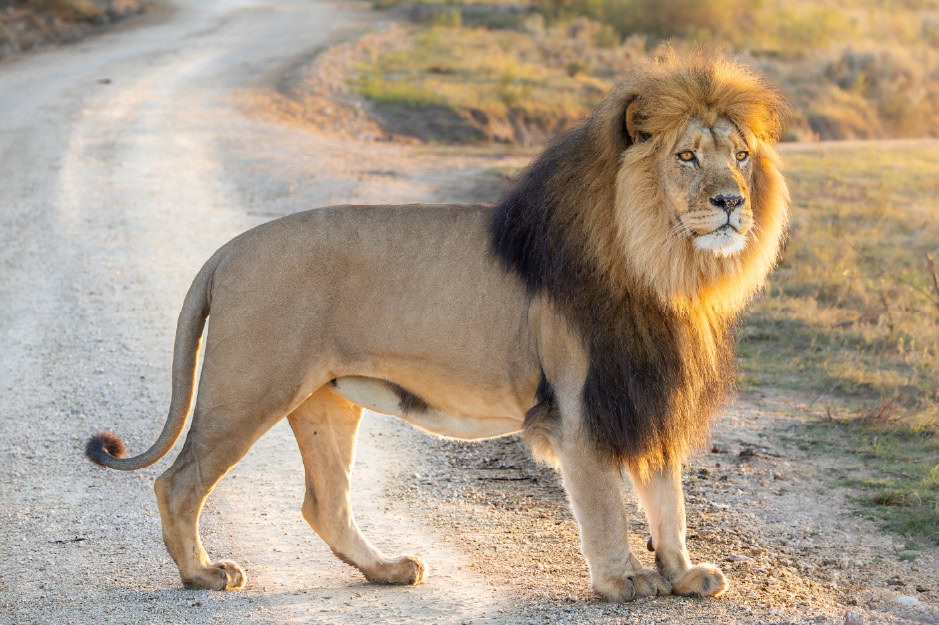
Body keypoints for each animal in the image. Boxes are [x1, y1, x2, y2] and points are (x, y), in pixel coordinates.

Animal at [86, 49, 789, 602]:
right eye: (687, 157)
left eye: (742, 157)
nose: (732, 202)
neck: (667, 271)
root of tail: (230, 248)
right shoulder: (580, 405)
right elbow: (606, 506)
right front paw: (622, 581)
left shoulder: (646, 393)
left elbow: (667, 499)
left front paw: (684, 574)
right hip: (248, 388)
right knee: (177, 482)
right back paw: (203, 574)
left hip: (325, 403)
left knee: (324, 504)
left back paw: (387, 569)